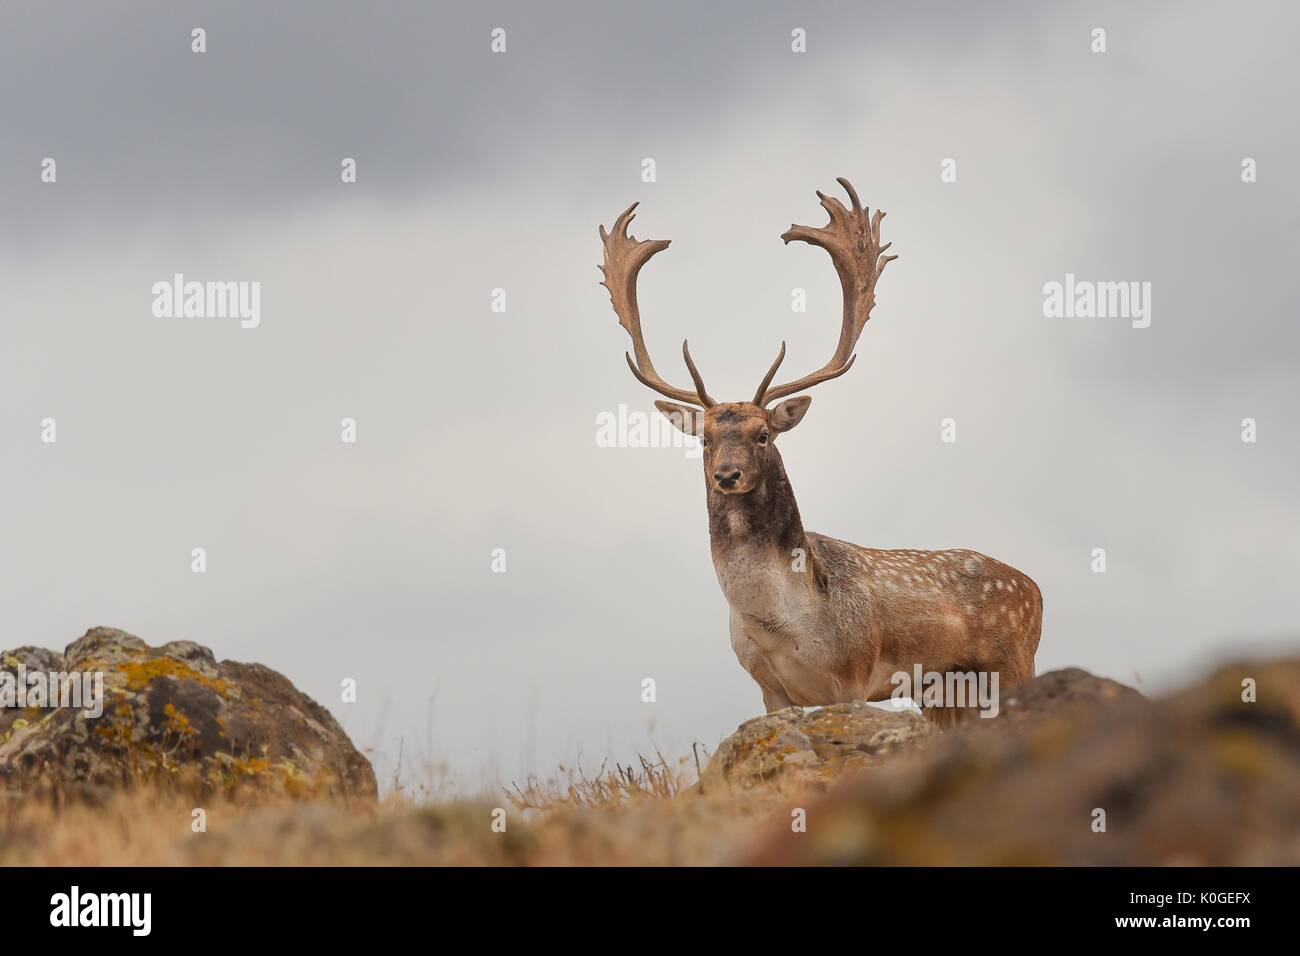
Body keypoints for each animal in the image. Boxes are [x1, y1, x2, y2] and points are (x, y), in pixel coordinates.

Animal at [598, 178, 1042, 725]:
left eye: (763, 434)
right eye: (705, 438)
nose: (726, 475)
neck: (782, 622)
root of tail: (1037, 589)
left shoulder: (853, 671)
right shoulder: (768, 687)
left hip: (1016, 659)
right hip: (945, 687)